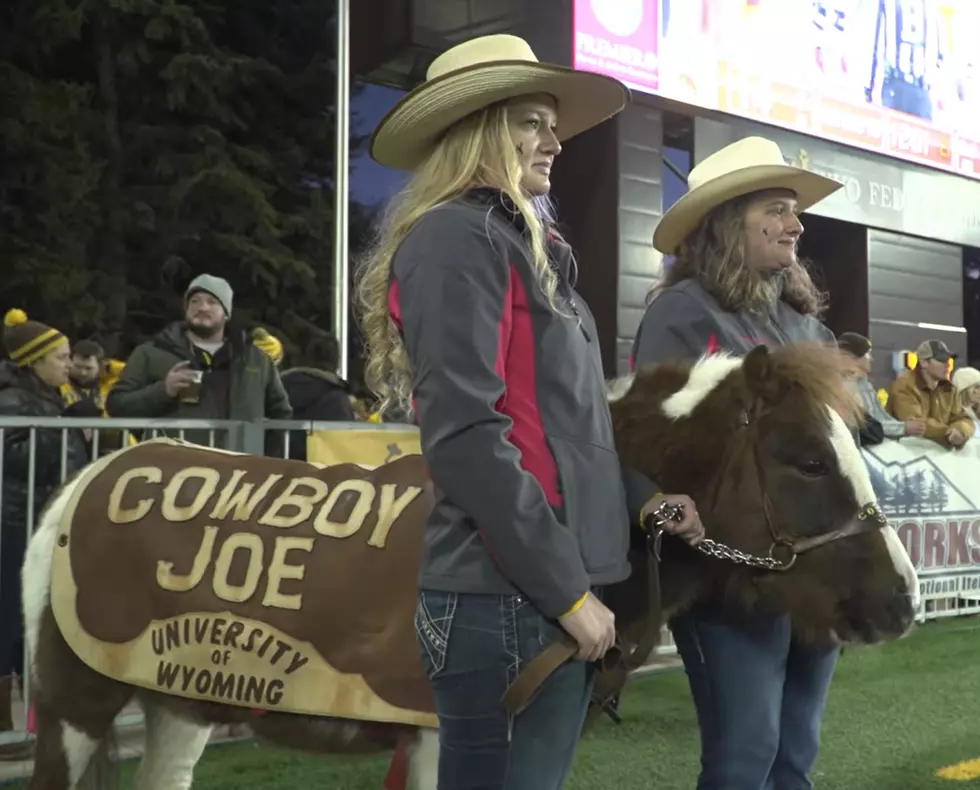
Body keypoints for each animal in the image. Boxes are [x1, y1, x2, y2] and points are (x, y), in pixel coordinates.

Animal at [17, 344, 920, 788]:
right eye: (808, 460)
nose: (904, 598)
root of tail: (78, 487)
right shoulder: (446, 738)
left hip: (179, 704)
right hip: (72, 708)